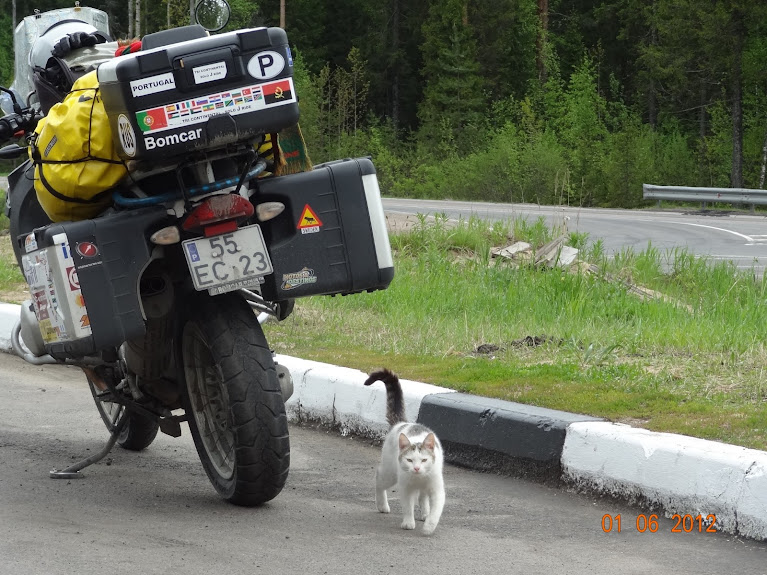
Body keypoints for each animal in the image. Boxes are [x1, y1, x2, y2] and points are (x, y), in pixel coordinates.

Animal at [364, 368, 444, 536]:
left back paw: (425, 512)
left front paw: (429, 526)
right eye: (409, 460)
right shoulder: (406, 488)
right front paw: (408, 523)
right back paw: (382, 505)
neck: (419, 478)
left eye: (424, 460)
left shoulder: (437, 489)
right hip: (390, 473)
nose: (417, 468)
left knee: (423, 496)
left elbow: (436, 512)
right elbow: (407, 507)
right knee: (379, 478)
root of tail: (402, 423)